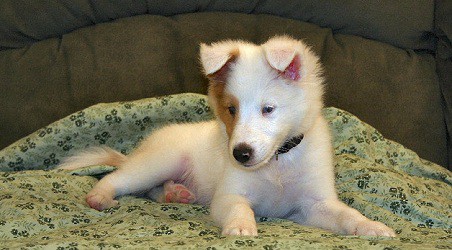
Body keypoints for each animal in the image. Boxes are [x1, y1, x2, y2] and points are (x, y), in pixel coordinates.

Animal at [59, 35, 396, 236]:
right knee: (118, 178)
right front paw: (241, 227)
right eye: (231, 109)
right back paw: (101, 196)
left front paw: (372, 227)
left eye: (268, 109)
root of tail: (141, 149)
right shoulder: (229, 194)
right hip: (158, 162)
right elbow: (238, 207)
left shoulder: (313, 204)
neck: (277, 165)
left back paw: (176, 193)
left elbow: (347, 215)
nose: (240, 154)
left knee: (151, 190)